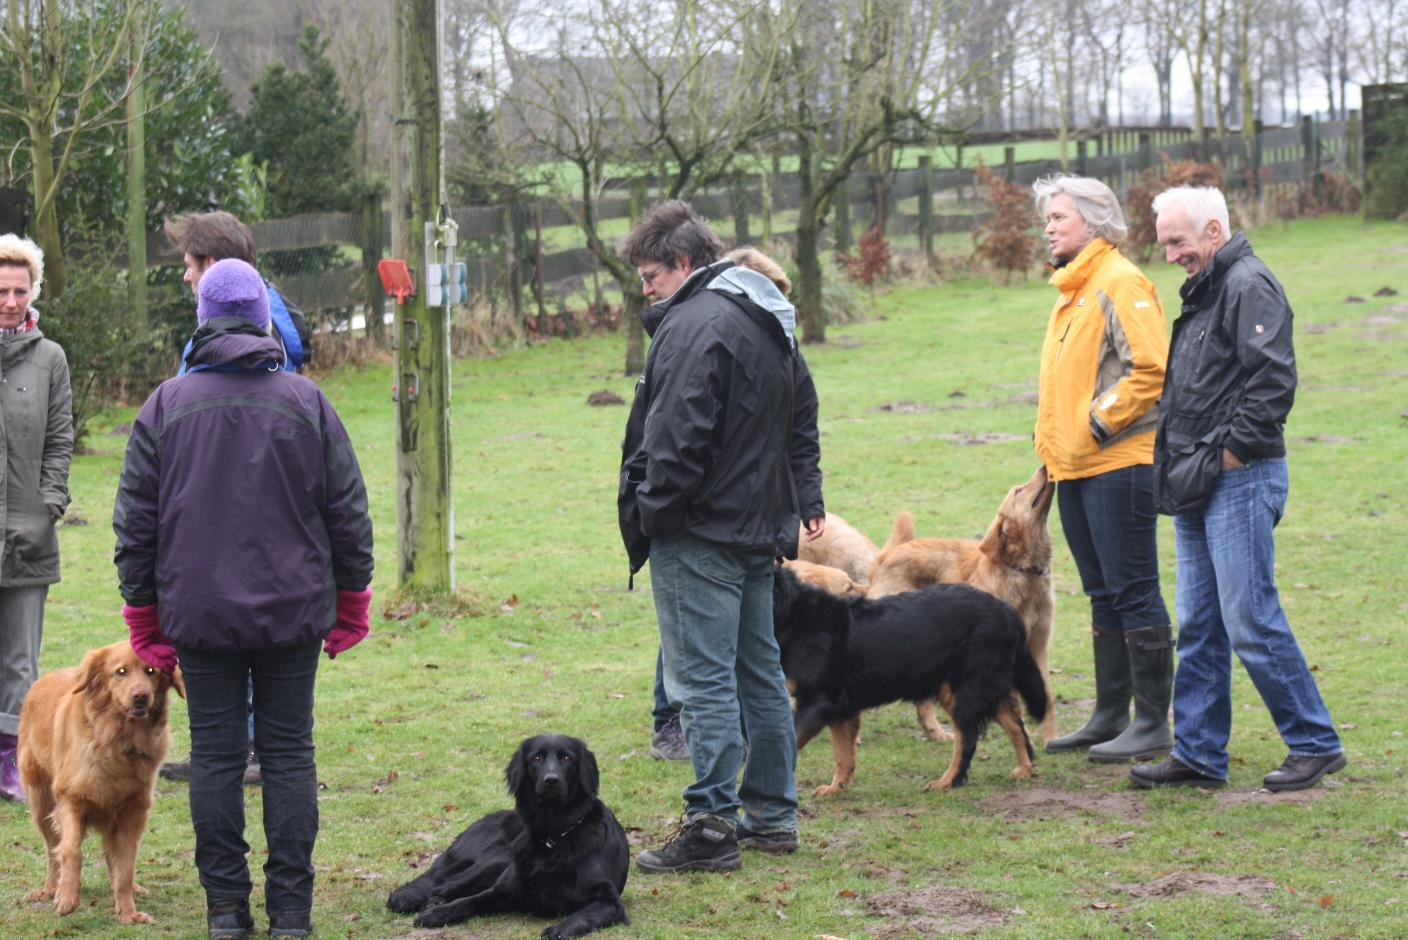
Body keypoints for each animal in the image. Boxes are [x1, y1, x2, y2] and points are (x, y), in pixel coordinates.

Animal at [18, 641, 184, 924]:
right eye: (121, 671)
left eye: (151, 670)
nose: (141, 695)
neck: (119, 741)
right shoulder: (70, 801)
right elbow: (70, 850)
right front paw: (67, 897)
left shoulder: (132, 813)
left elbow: (125, 866)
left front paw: (128, 912)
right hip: (41, 803)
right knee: (52, 850)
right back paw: (50, 889)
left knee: (111, 856)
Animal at [389, 734, 629, 939]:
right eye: (536, 758)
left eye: (567, 758)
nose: (551, 780)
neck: (553, 835)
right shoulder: (503, 889)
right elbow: (468, 901)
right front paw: (438, 914)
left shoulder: (610, 901)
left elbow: (582, 916)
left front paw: (559, 929)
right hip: (498, 858)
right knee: (442, 885)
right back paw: (435, 902)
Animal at [773, 566, 1047, 795]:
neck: (796, 616)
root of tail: (1006, 609)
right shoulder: (840, 707)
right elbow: (844, 755)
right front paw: (836, 788)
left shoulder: (817, 702)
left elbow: (791, 744)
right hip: (976, 686)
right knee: (1015, 723)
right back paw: (1025, 769)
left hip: (965, 689)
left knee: (968, 739)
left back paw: (947, 782)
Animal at [867, 466, 1058, 744]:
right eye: (1018, 491)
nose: (1045, 467)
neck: (1022, 570)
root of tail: (884, 557)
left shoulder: (1039, 644)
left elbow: (1047, 696)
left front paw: (1050, 739)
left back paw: (935, 732)